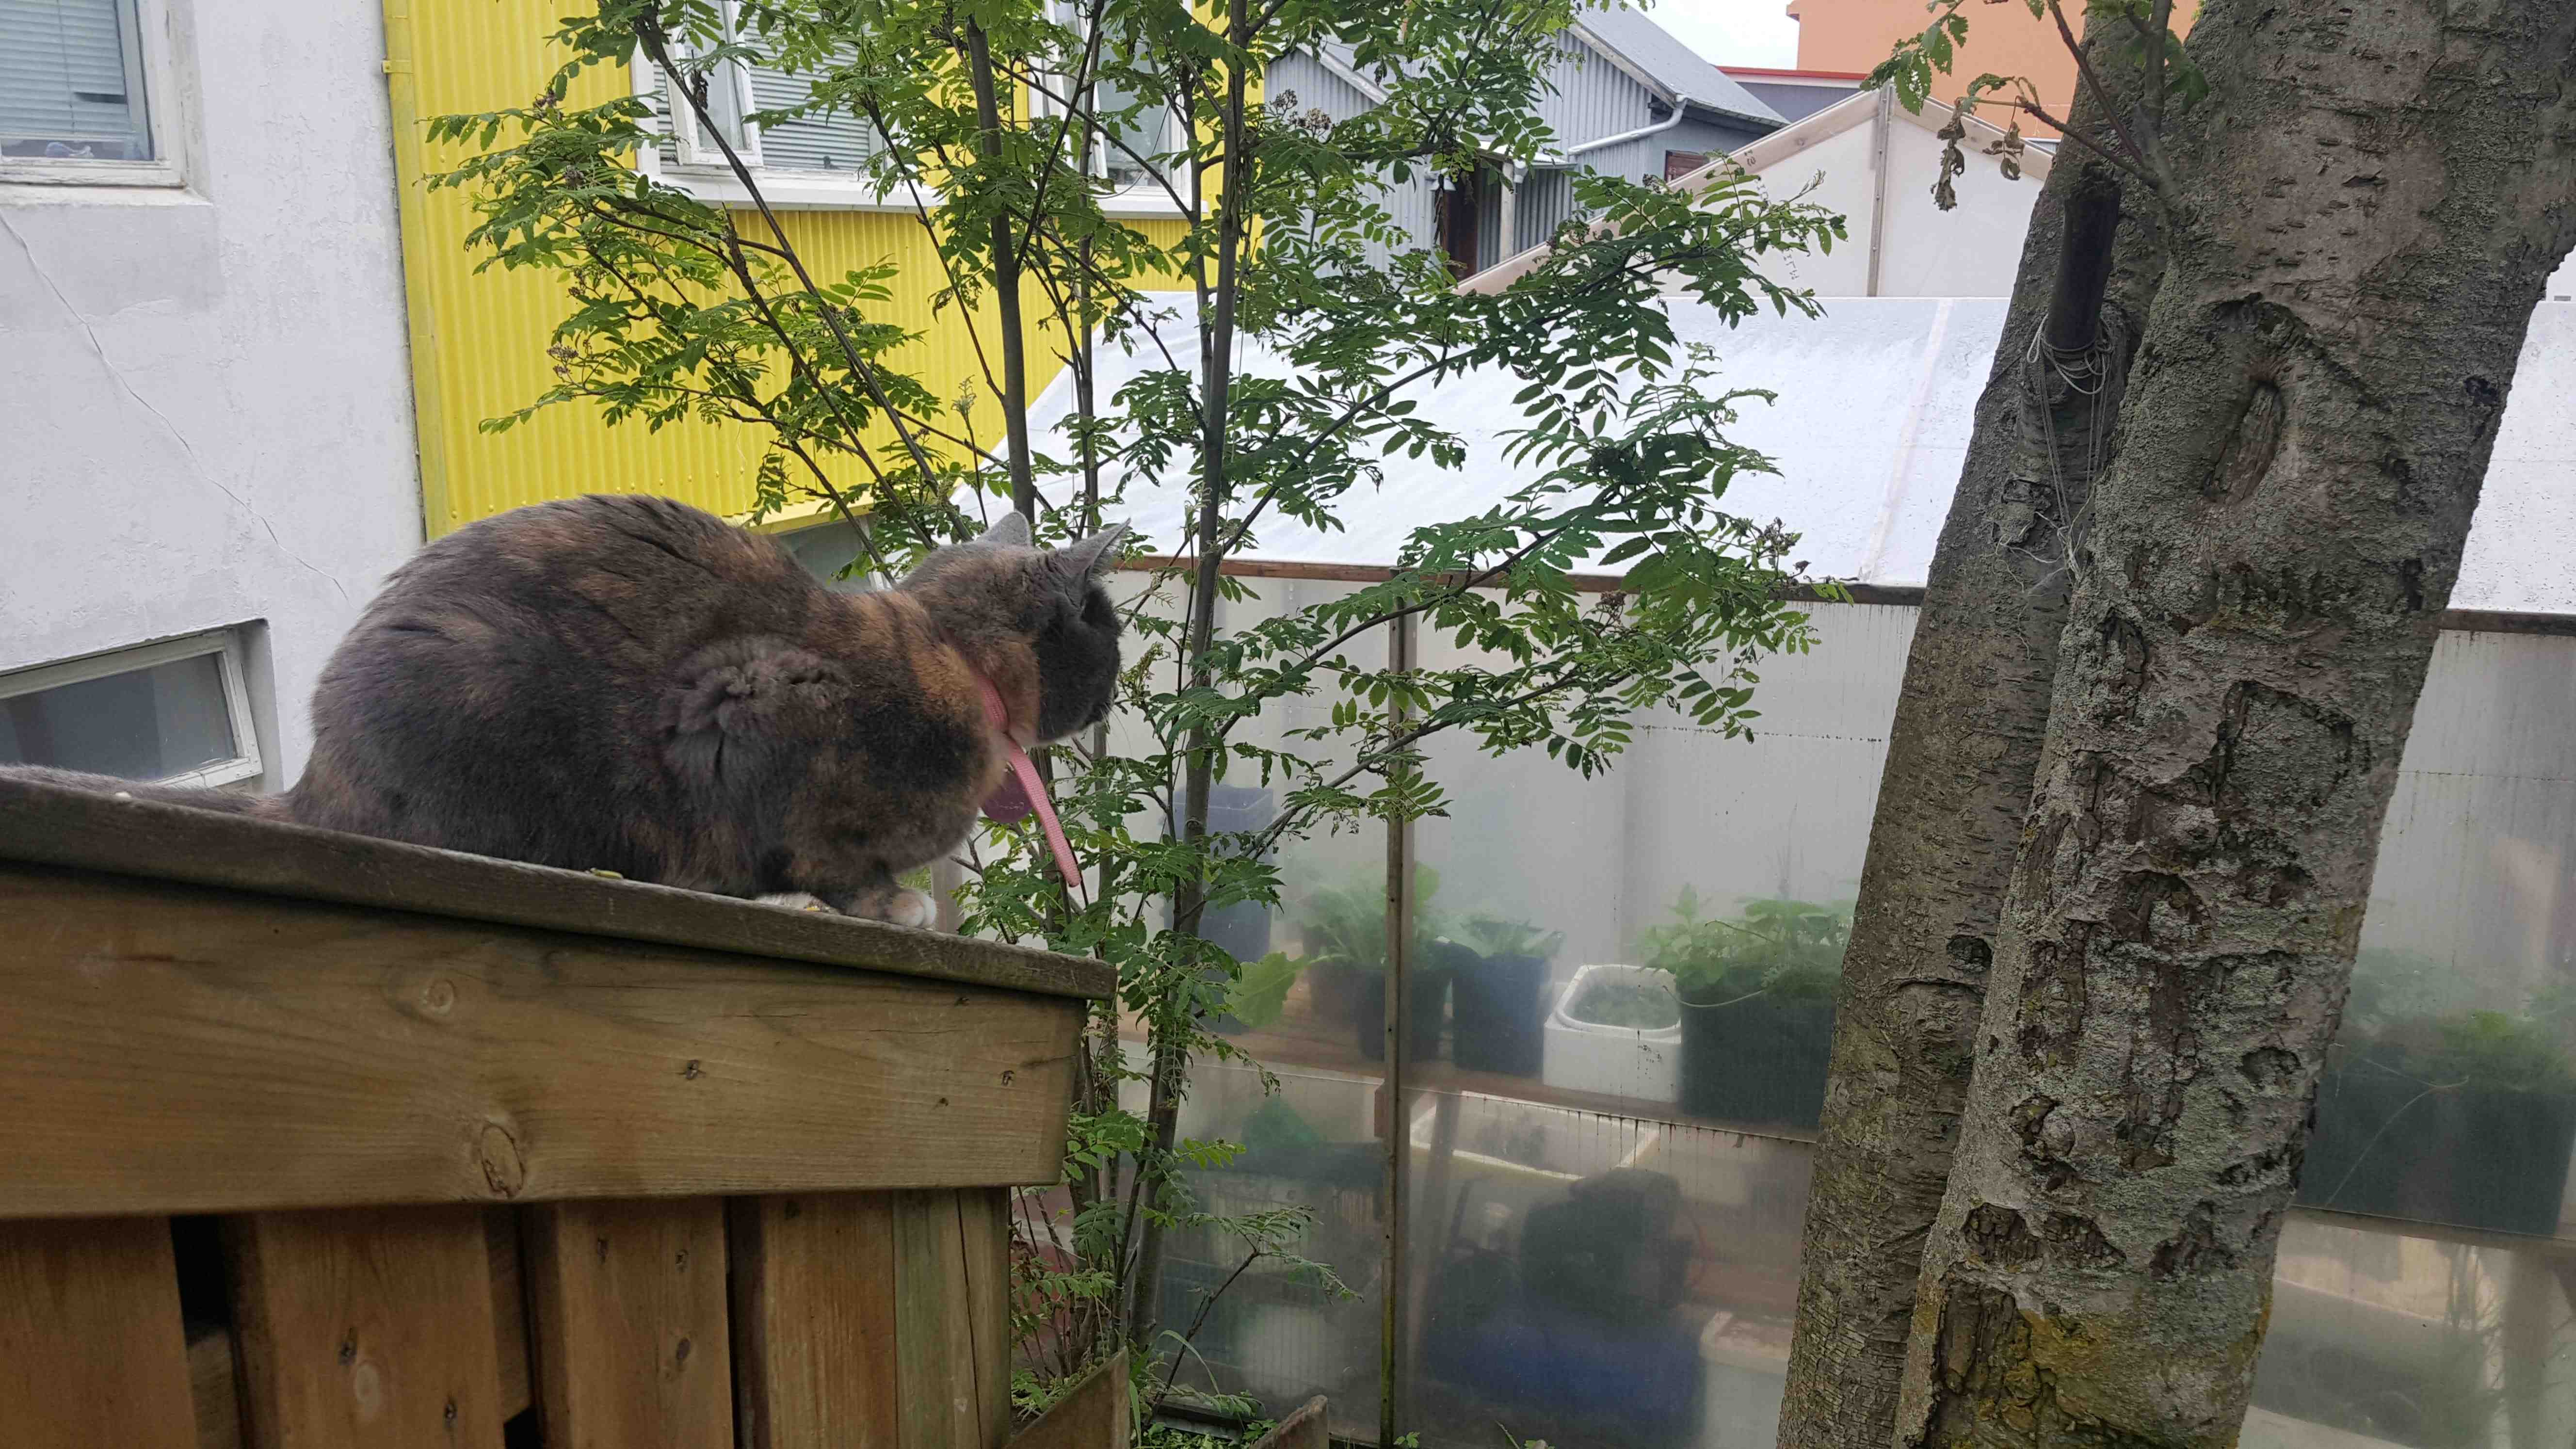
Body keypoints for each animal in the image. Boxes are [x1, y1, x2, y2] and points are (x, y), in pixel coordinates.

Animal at [8, 495, 1125, 927]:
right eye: (1108, 632)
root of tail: (317, 780)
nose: (1116, 684)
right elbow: (832, 861)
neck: (947, 661)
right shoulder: (743, 697)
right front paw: (882, 901)